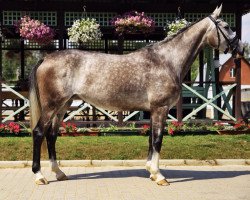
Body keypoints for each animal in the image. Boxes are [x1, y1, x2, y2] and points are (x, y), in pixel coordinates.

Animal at [29, 4, 244, 185]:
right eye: (226, 26)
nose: (241, 48)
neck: (166, 60)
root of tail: (46, 58)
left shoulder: (153, 110)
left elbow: (151, 138)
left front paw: (151, 170)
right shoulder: (160, 108)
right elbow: (157, 139)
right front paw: (159, 176)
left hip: (62, 106)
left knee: (51, 135)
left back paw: (59, 172)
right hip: (51, 106)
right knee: (39, 133)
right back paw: (39, 176)